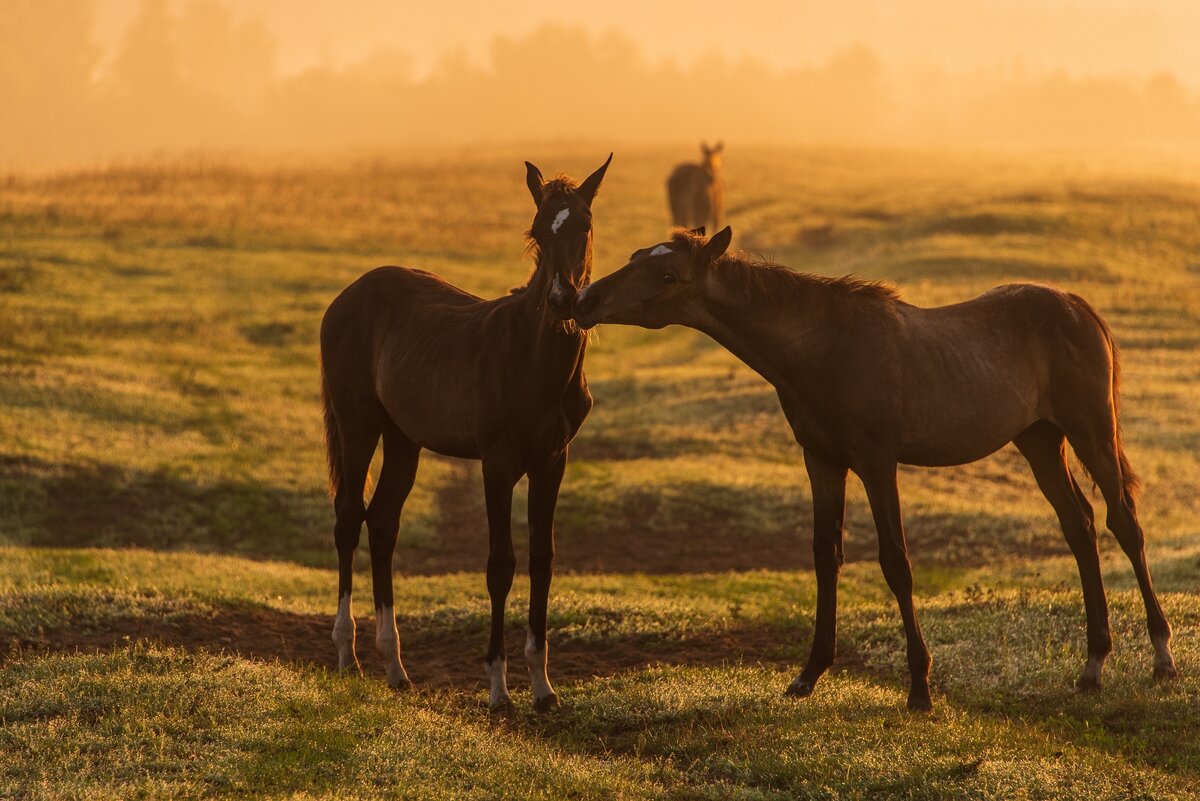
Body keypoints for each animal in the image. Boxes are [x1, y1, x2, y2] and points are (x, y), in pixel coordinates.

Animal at [321, 153, 609, 709]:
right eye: (538, 230)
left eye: (584, 224)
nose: (562, 299)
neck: (534, 358)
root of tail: (347, 296)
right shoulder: (497, 464)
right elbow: (500, 565)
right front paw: (498, 689)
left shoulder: (552, 461)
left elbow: (542, 559)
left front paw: (543, 688)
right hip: (357, 424)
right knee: (348, 519)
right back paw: (348, 656)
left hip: (403, 438)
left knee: (383, 522)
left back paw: (396, 667)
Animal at [571, 226, 1171, 714]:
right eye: (635, 256)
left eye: (666, 275)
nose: (584, 298)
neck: (824, 346)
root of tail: (1078, 306)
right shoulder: (823, 462)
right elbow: (825, 555)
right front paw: (808, 675)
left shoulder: (878, 464)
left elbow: (896, 563)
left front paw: (920, 688)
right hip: (1040, 440)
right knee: (1080, 526)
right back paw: (1093, 663)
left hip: (1091, 432)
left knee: (1124, 524)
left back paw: (1161, 655)